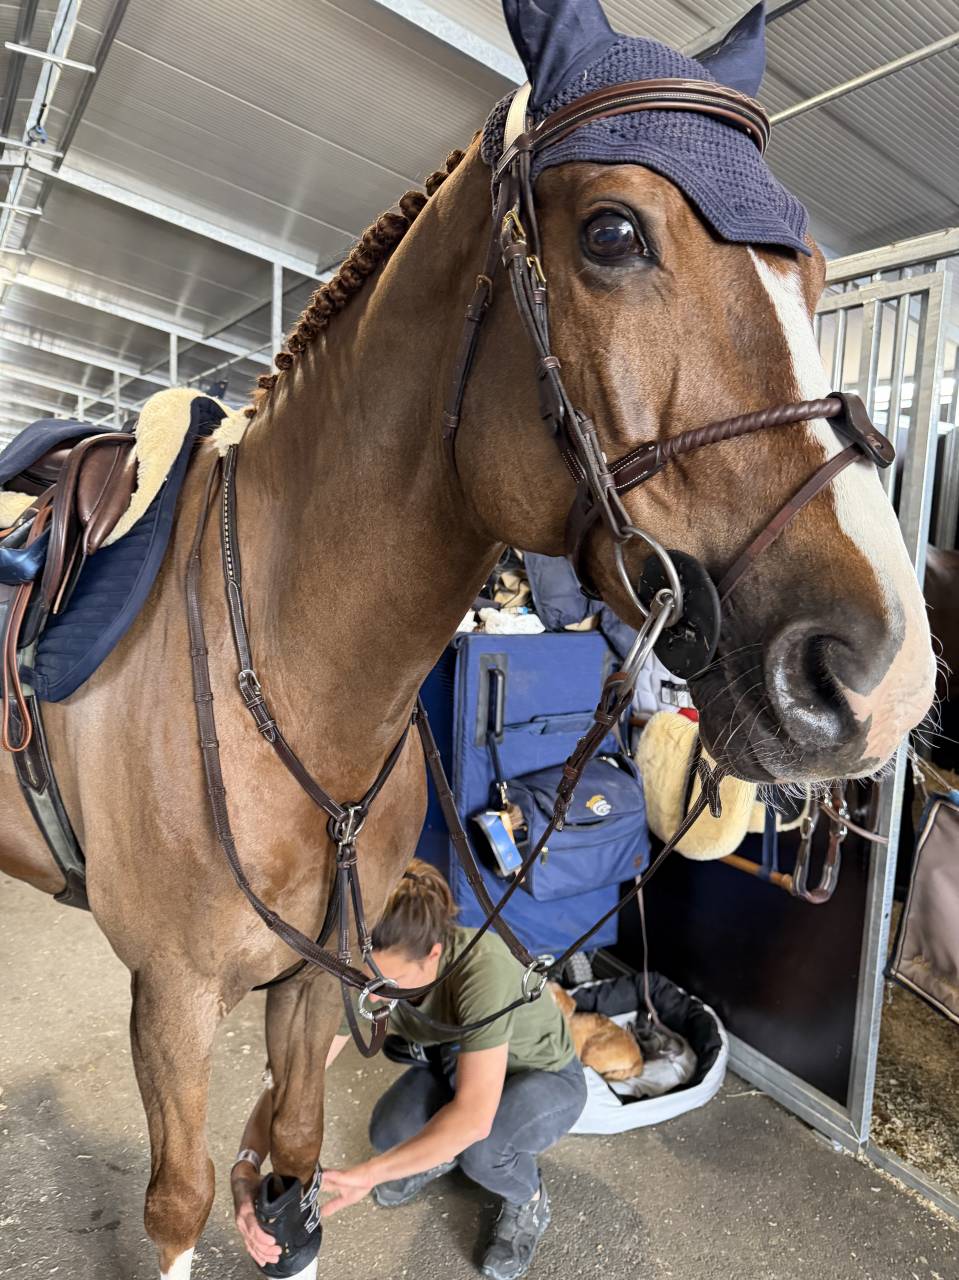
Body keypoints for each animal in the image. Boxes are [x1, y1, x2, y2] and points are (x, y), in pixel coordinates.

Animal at [0, 1, 936, 1275]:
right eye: (610, 232)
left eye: (814, 268)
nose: (880, 676)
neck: (296, 680)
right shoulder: (171, 1000)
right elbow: (181, 1199)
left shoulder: (308, 985)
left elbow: (292, 1157)